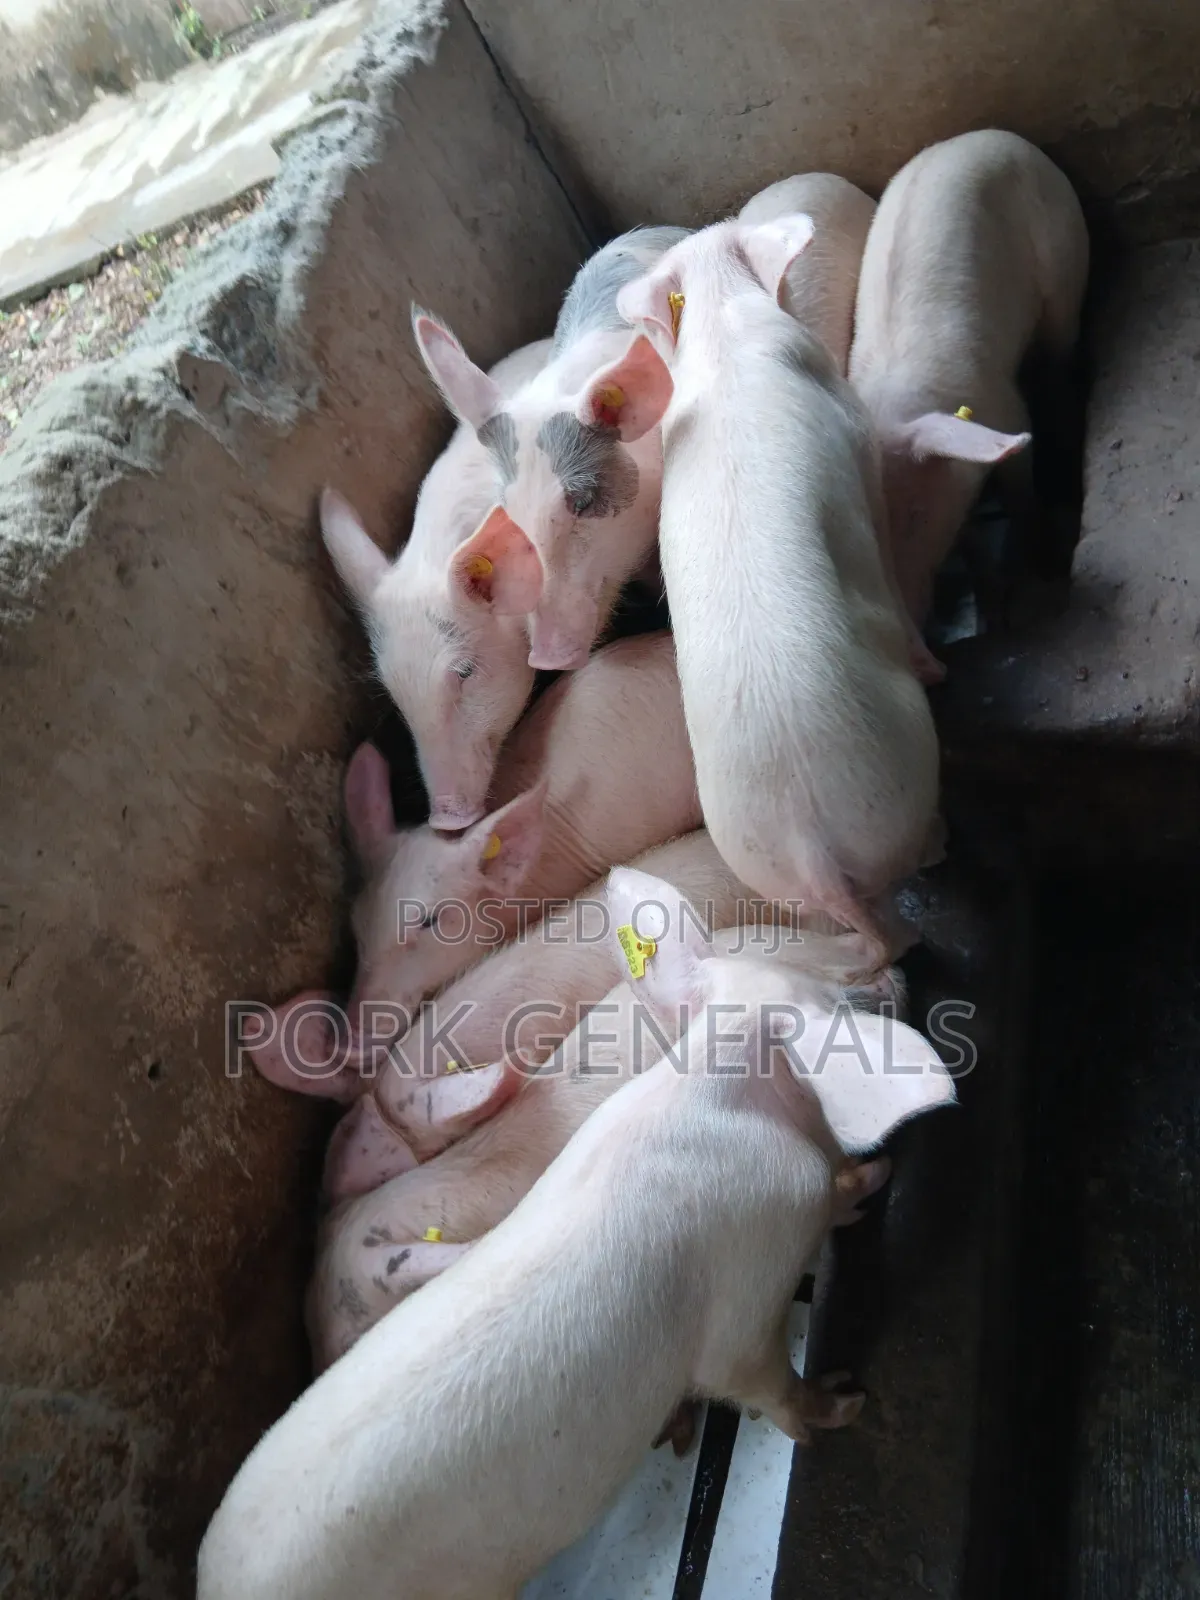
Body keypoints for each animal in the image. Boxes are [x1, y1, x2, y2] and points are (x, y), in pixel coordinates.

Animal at [848, 129, 1090, 628]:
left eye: (916, 514)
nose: (915, 626)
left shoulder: (1004, 407)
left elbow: (1021, 492)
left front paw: (1030, 573)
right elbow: (968, 537)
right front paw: (990, 607)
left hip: (1066, 260)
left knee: (1061, 355)